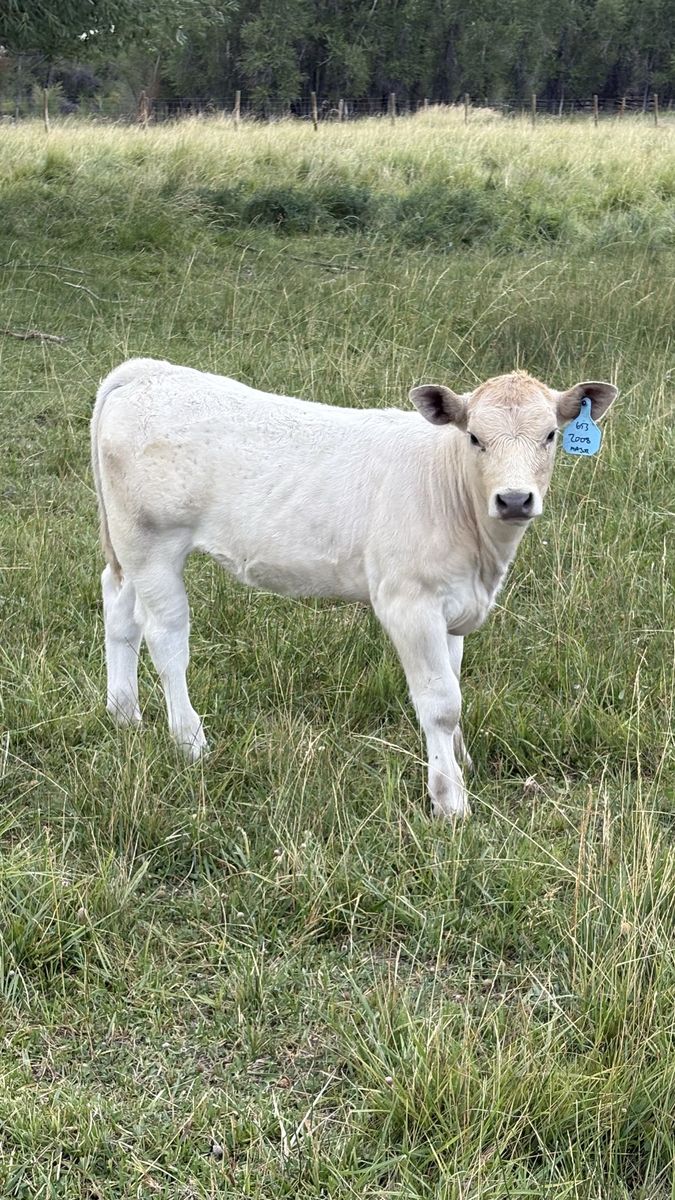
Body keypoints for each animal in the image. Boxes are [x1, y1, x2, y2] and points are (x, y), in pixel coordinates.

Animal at [91, 359, 617, 818]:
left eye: (550, 435)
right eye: (474, 438)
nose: (513, 499)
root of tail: (147, 371)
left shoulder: (454, 605)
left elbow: (455, 683)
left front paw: (461, 761)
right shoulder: (409, 603)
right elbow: (441, 702)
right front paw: (450, 801)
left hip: (129, 550)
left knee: (119, 610)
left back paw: (124, 715)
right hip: (153, 543)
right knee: (166, 639)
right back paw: (190, 741)